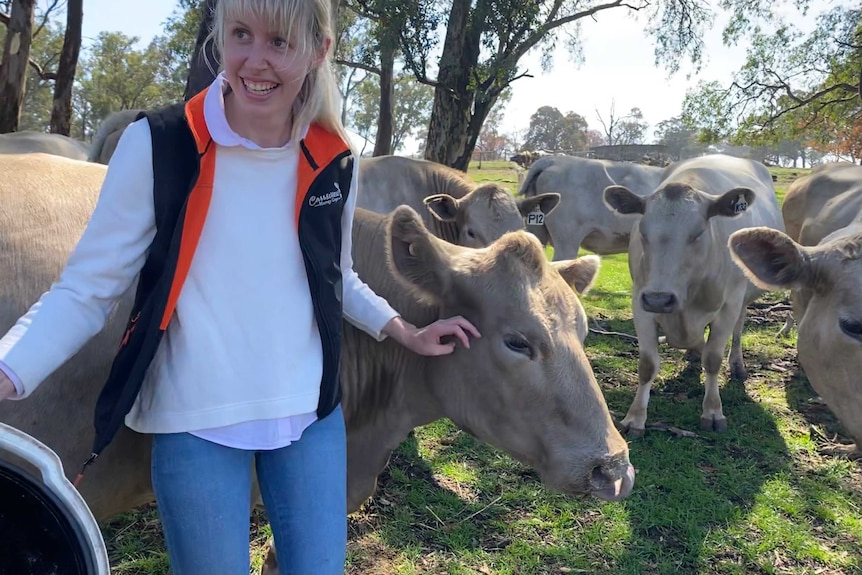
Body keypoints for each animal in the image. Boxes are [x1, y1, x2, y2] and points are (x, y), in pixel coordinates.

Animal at [604, 155, 788, 434]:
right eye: (643, 232)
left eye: (698, 233)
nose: (659, 298)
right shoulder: (640, 301)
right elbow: (647, 365)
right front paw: (634, 418)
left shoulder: (729, 304)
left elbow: (712, 358)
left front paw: (712, 412)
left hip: (742, 297)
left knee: (738, 330)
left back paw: (737, 365)